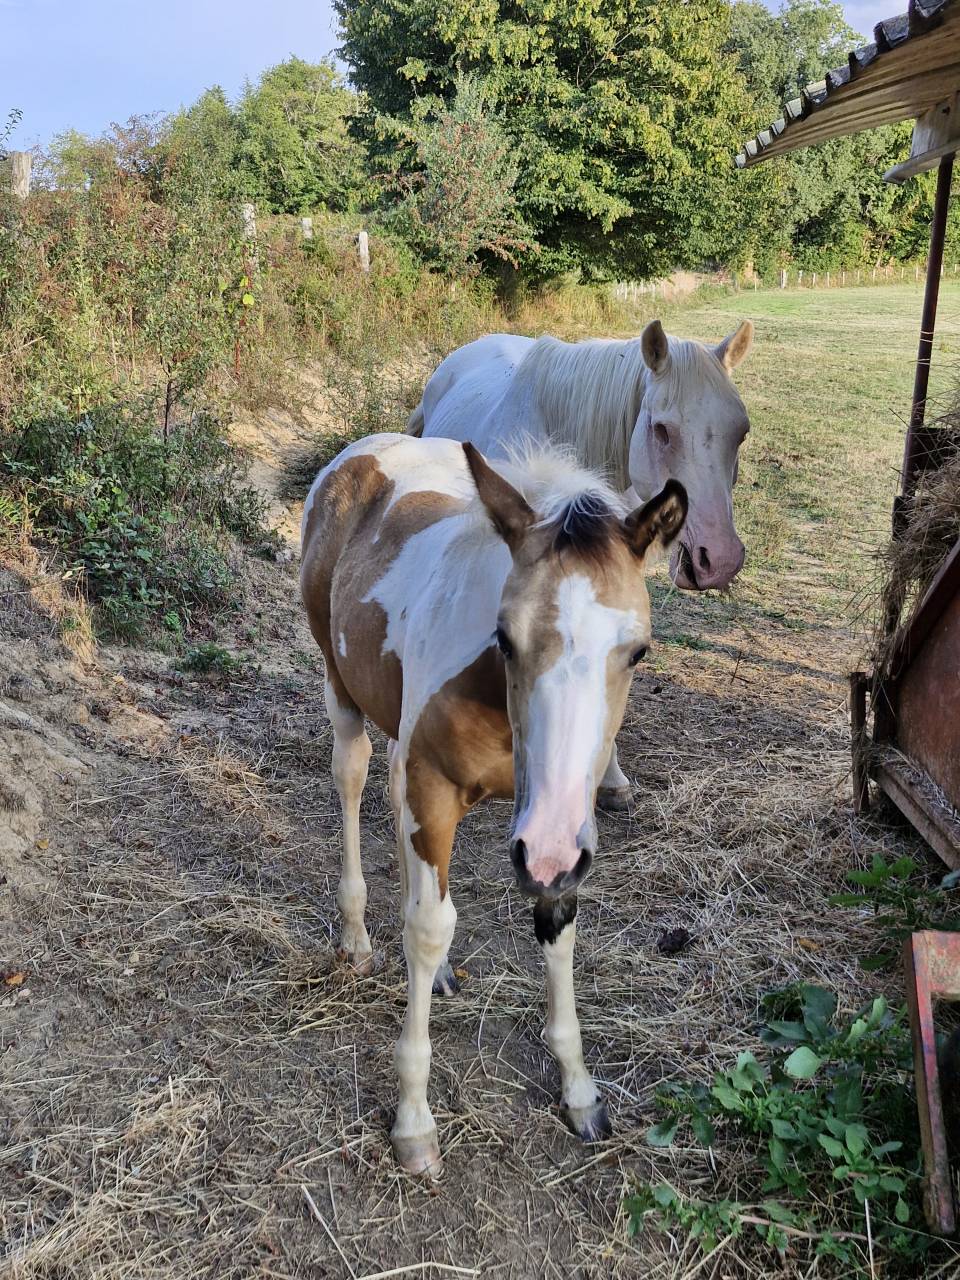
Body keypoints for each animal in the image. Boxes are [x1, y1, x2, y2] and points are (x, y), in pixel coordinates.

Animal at [300, 432, 687, 1176]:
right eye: (503, 635)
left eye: (638, 651)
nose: (546, 849)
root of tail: (364, 450)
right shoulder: (440, 788)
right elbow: (429, 925)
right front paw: (414, 1124)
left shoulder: (562, 824)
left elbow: (556, 923)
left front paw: (580, 1093)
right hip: (341, 685)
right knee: (355, 779)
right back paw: (358, 939)